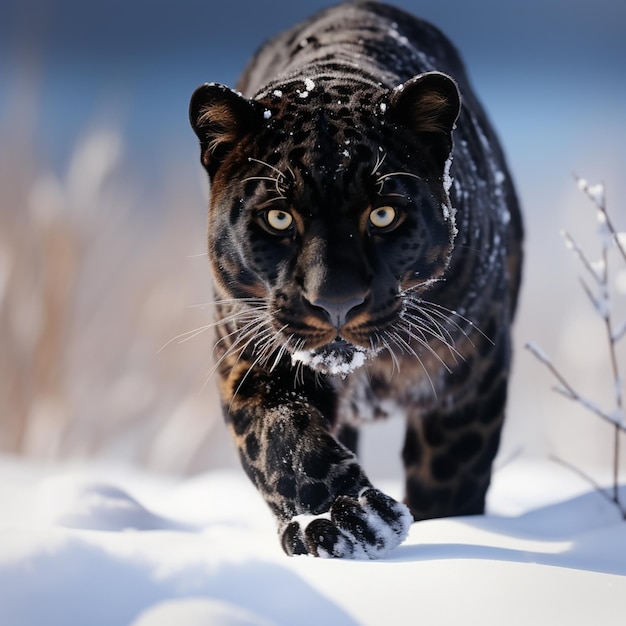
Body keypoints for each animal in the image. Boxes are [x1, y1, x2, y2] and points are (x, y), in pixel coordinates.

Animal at [189, 0, 520, 556]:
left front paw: (432, 526)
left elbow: (451, 478)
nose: (336, 301)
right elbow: (282, 437)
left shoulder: (470, 374)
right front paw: (346, 522)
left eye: (383, 214)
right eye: (278, 217)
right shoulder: (250, 353)